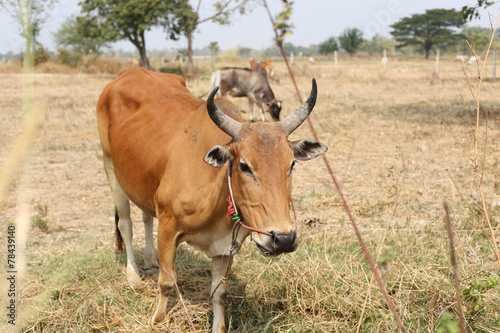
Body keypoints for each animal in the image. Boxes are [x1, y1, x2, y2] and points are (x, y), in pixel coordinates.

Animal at [96, 67, 328, 332]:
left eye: (291, 164)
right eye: (244, 165)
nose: (284, 239)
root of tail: (128, 71)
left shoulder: (226, 247)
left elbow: (219, 294)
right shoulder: (168, 229)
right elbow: (167, 282)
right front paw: (157, 320)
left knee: (145, 215)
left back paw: (150, 259)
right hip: (110, 168)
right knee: (126, 224)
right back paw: (133, 274)